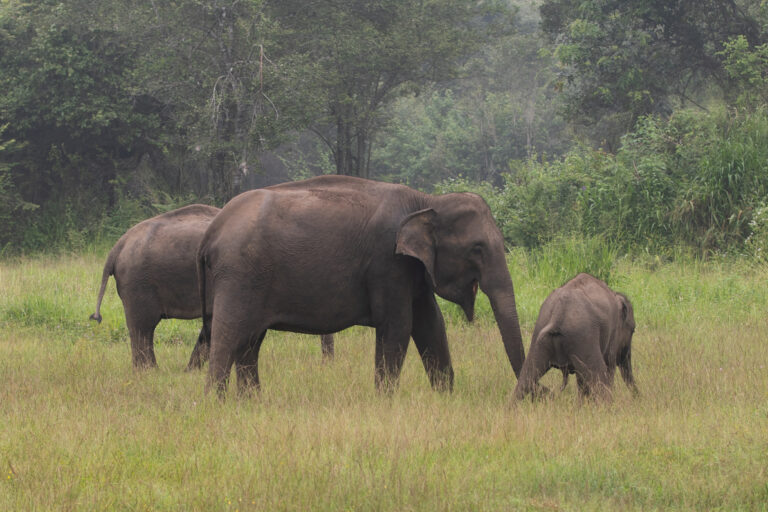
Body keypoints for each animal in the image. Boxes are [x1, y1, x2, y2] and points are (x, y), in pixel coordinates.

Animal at [89, 204, 334, 369]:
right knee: (143, 327)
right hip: (138, 282)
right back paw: (149, 372)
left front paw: (191, 372)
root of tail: (118, 245)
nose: (326, 364)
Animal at [197, 175, 525, 397]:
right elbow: (399, 326)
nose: (529, 392)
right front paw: (386, 402)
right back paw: (217, 403)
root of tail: (212, 231)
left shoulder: (413, 269)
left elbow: (431, 324)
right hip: (238, 275)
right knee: (230, 334)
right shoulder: (388, 263)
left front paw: (445, 398)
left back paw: (251, 403)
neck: (428, 201)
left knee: (250, 341)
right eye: (477, 249)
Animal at [513, 273, 637, 401]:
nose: (637, 397)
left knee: (525, 379)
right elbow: (609, 366)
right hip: (584, 337)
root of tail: (558, 314)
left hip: (541, 334)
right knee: (599, 377)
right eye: (633, 330)